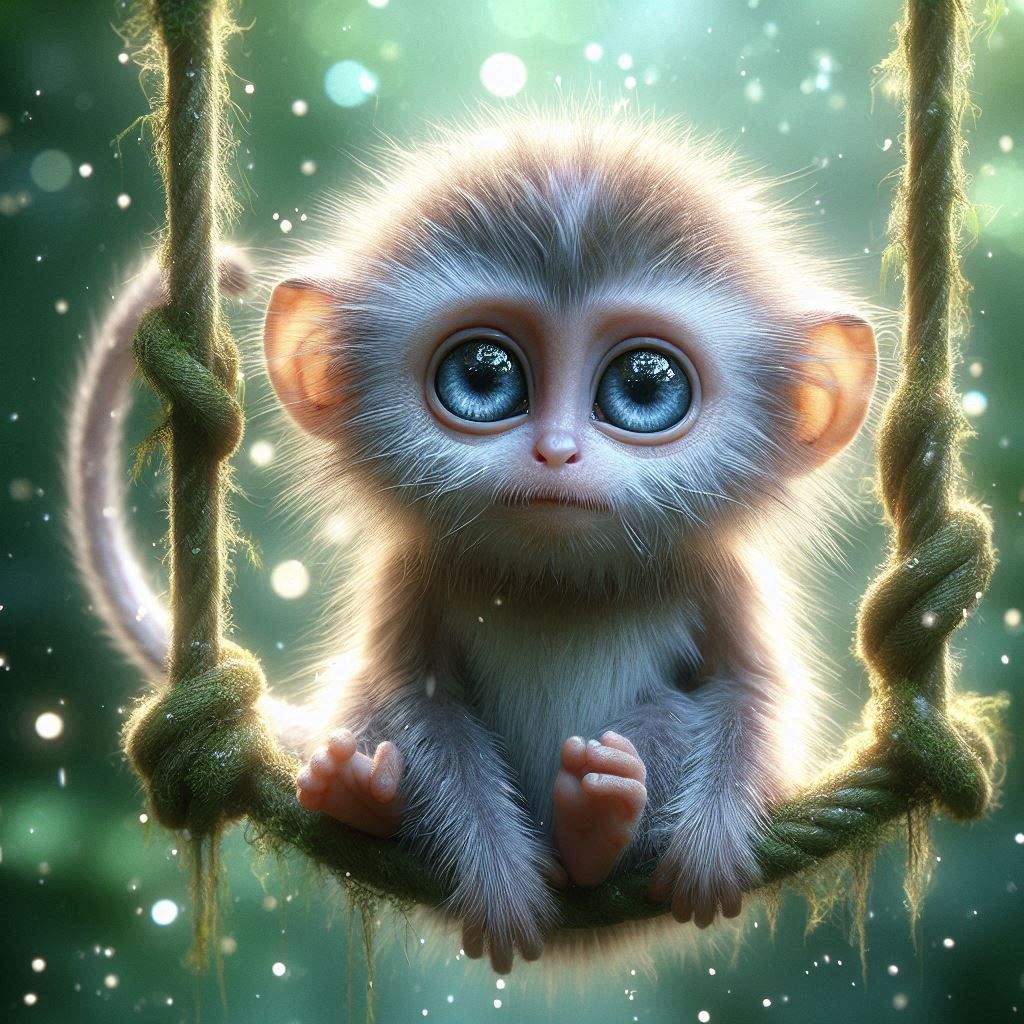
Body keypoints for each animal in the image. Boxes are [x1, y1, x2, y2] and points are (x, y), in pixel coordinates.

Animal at [67, 108, 877, 975]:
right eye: (484, 378)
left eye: (644, 387)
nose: (557, 452)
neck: (557, 583)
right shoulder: (412, 574)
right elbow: (415, 698)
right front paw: (495, 878)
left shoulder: (724, 576)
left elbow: (754, 689)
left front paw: (708, 844)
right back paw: (368, 795)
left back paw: (597, 818)